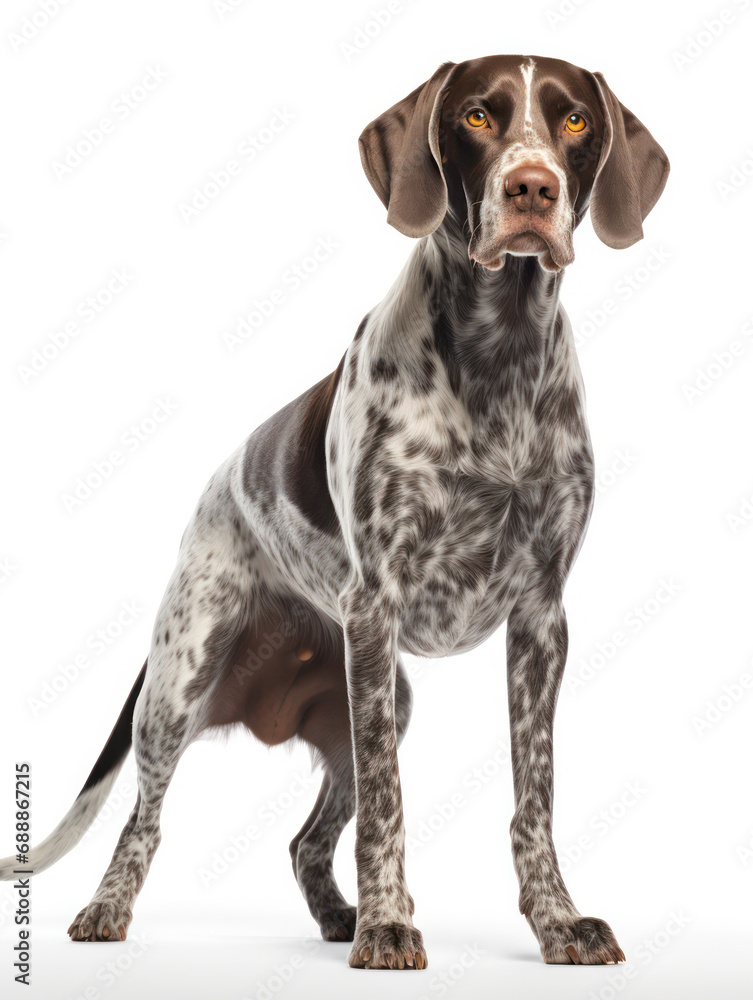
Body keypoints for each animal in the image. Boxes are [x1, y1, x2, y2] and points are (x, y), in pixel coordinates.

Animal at [1, 54, 668, 968]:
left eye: (572, 121)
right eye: (476, 115)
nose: (531, 187)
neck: (498, 357)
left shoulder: (540, 618)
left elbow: (533, 795)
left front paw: (556, 921)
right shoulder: (376, 609)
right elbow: (390, 801)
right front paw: (390, 923)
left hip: (369, 696)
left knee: (304, 840)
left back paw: (334, 914)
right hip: (184, 679)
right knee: (143, 821)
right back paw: (107, 909)